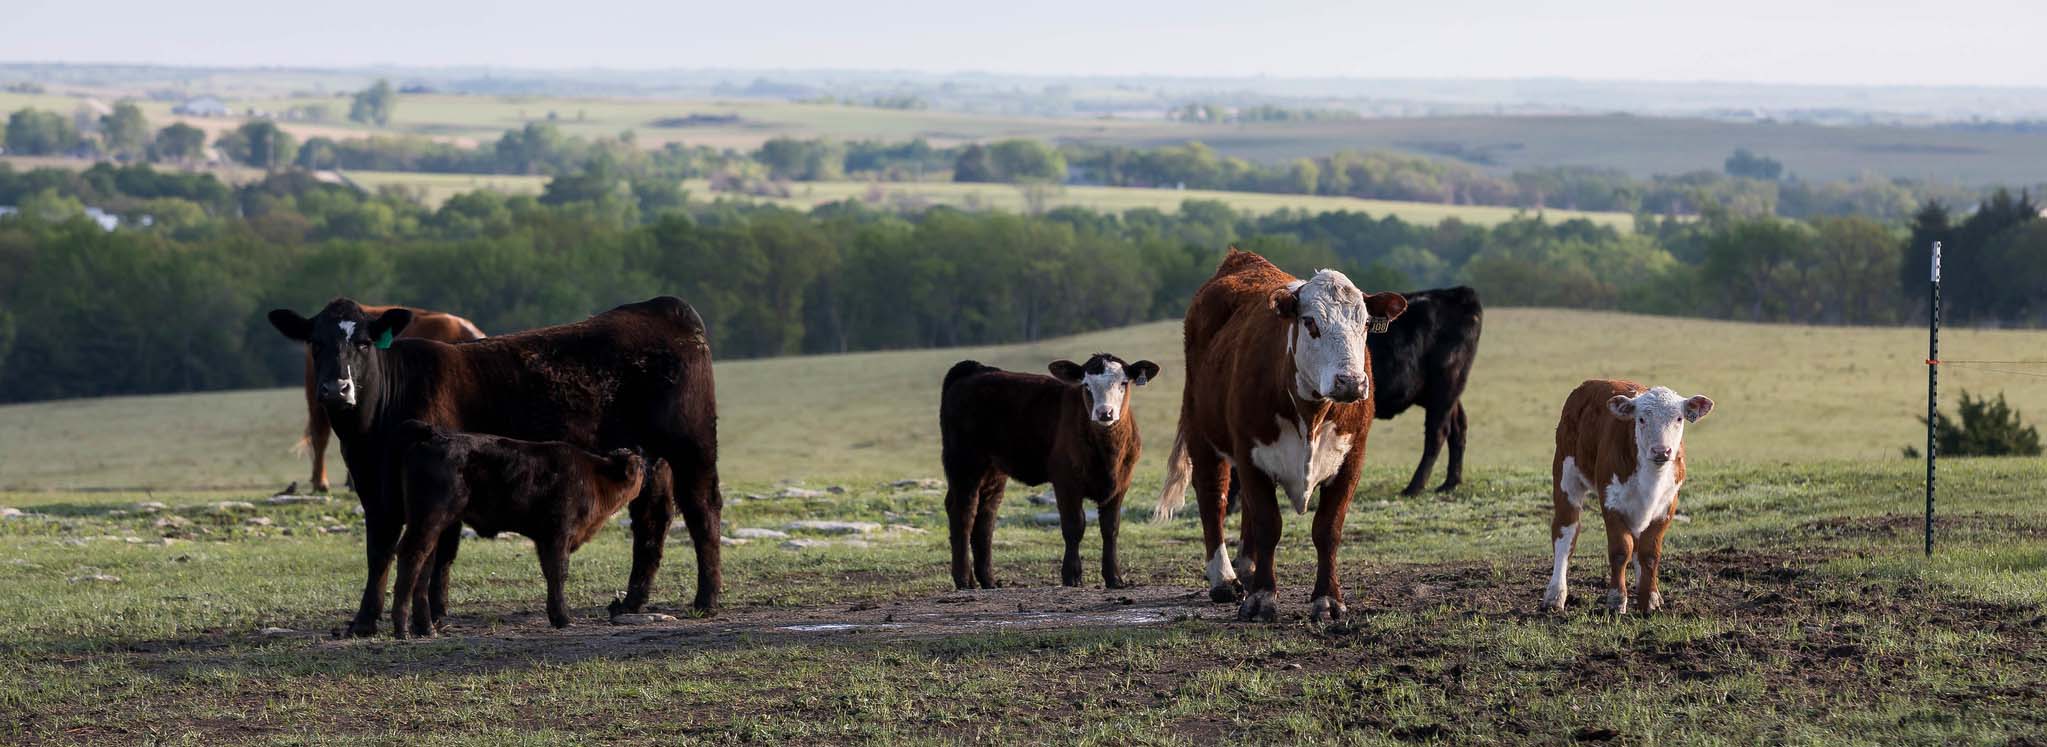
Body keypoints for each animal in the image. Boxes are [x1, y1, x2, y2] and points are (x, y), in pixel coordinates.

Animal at [389, 421, 647, 638]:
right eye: (642, 467)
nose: (649, 471)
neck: (596, 476)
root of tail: (434, 435)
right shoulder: (558, 535)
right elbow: (559, 573)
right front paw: (564, 618)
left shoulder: (544, 539)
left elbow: (550, 573)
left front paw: (556, 616)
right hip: (429, 519)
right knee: (411, 556)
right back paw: (402, 629)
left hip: (432, 525)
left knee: (424, 563)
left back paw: (426, 629)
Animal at [939, 354, 1160, 590]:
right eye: (1086, 386)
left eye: (1123, 383)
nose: (1105, 413)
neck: (1108, 453)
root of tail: (975, 369)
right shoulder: (1065, 481)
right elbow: (1074, 526)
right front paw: (1072, 575)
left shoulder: (1121, 483)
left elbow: (1110, 528)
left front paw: (1114, 578)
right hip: (965, 464)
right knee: (963, 513)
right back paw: (964, 579)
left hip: (993, 471)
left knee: (985, 516)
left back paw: (988, 580)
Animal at [1150, 248, 1407, 622]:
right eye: (1311, 322)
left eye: (1363, 324)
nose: (1351, 381)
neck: (1311, 415)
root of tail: (1242, 259)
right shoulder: (1250, 451)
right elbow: (1268, 523)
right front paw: (1262, 598)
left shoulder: (1352, 458)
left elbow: (1327, 528)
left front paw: (1327, 599)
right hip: (1201, 430)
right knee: (1213, 496)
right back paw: (1224, 578)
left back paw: (1247, 566)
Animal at [1544, 380, 1715, 615]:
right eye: (1641, 419)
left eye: (1678, 418)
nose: (1661, 451)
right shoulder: (1611, 502)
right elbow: (1621, 550)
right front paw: (1616, 600)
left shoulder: (1668, 505)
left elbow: (1649, 553)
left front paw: (1649, 599)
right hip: (1566, 476)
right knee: (1565, 532)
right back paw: (1555, 594)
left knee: (1638, 544)